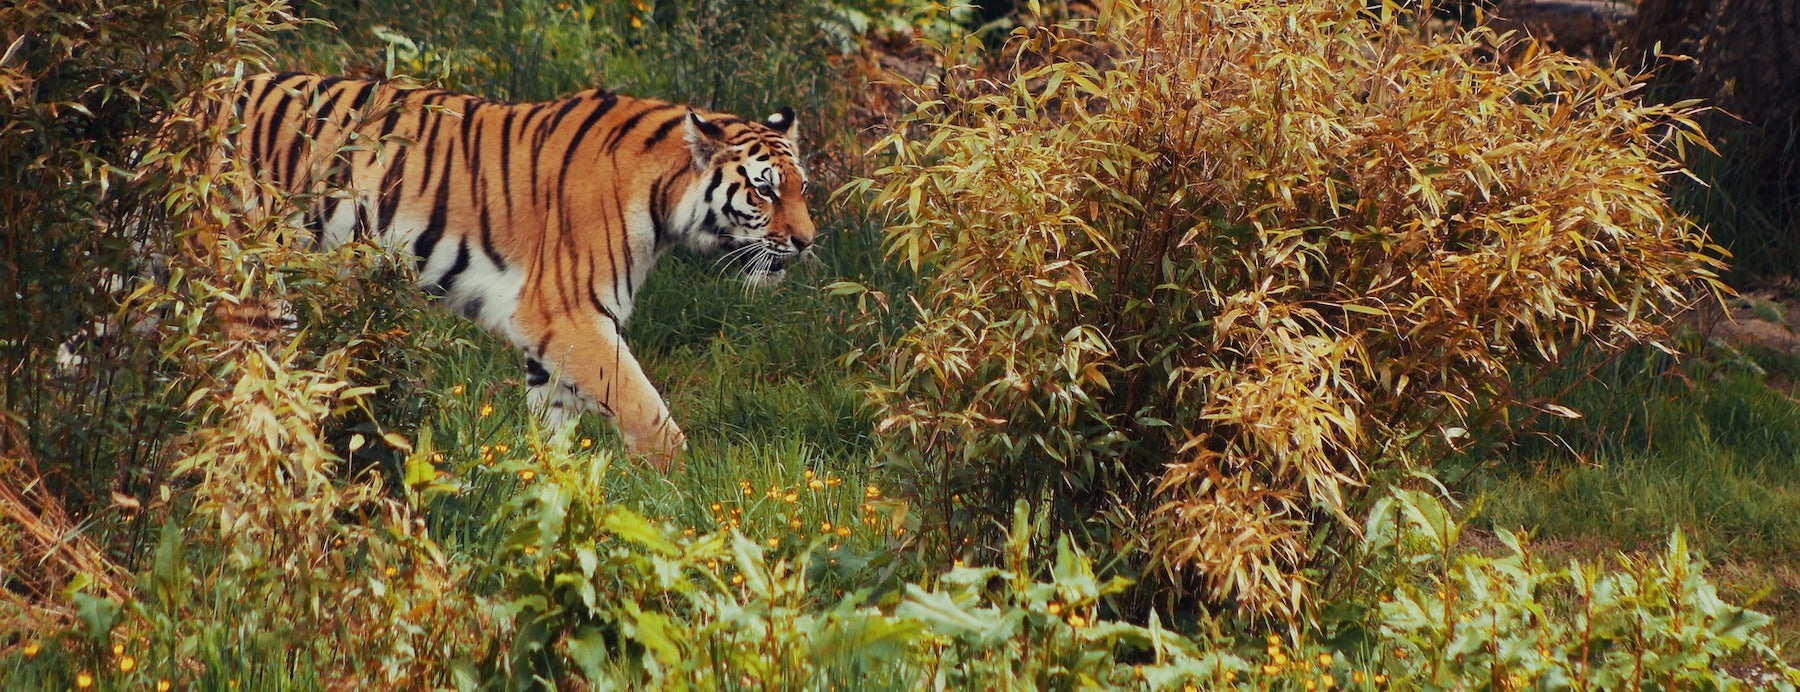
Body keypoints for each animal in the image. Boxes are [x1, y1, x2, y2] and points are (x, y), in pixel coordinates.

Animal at [228, 72, 820, 468]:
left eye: (802, 188)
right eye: (764, 190)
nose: (807, 241)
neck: (664, 197)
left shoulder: (553, 336)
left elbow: (554, 430)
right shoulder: (568, 312)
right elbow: (643, 406)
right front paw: (675, 481)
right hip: (253, 289)